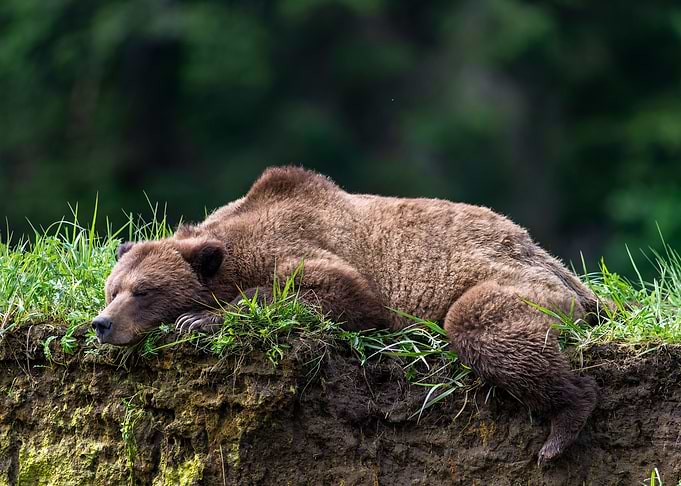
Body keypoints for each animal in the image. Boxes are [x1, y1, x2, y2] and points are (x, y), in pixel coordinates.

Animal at [93, 166, 601, 464]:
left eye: (143, 291)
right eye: (112, 289)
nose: (102, 323)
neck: (236, 250)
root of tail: (544, 253)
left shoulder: (312, 248)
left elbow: (338, 293)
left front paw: (200, 318)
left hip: (514, 279)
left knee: (482, 323)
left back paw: (562, 426)